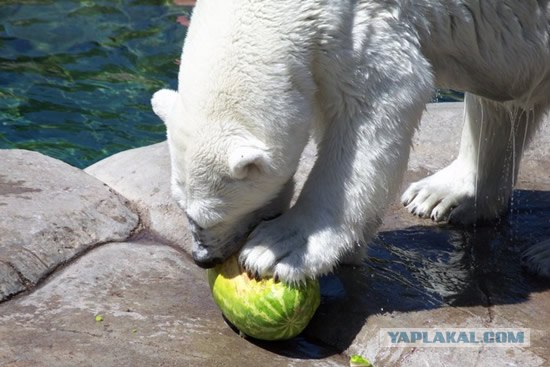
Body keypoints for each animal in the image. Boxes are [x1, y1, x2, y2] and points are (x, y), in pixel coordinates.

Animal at [152, 0, 550, 284]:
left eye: (209, 216)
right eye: (181, 207)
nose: (204, 258)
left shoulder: (365, 25)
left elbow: (376, 106)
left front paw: (281, 249)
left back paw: (541, 256)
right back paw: (446, 193)